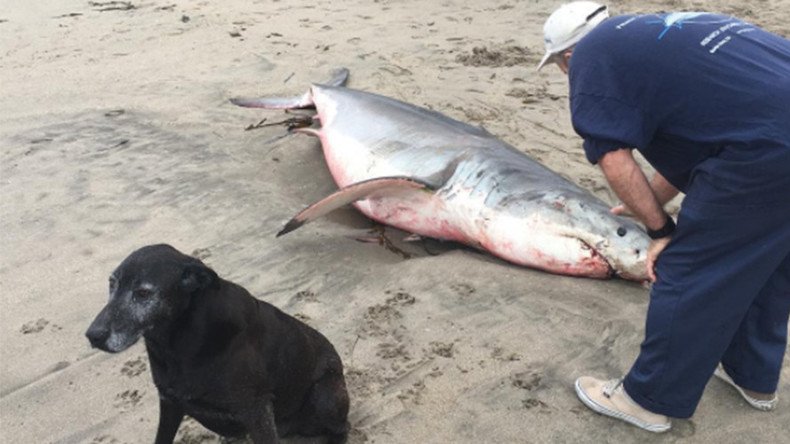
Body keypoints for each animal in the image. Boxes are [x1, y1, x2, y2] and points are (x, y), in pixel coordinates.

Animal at [84, 245, 352, 442]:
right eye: (112, 284)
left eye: (143, 293)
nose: (92, 335)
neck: (178, 347)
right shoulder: (170, 402)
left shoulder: (257, 410)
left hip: (325, 396)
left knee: (342, 428)